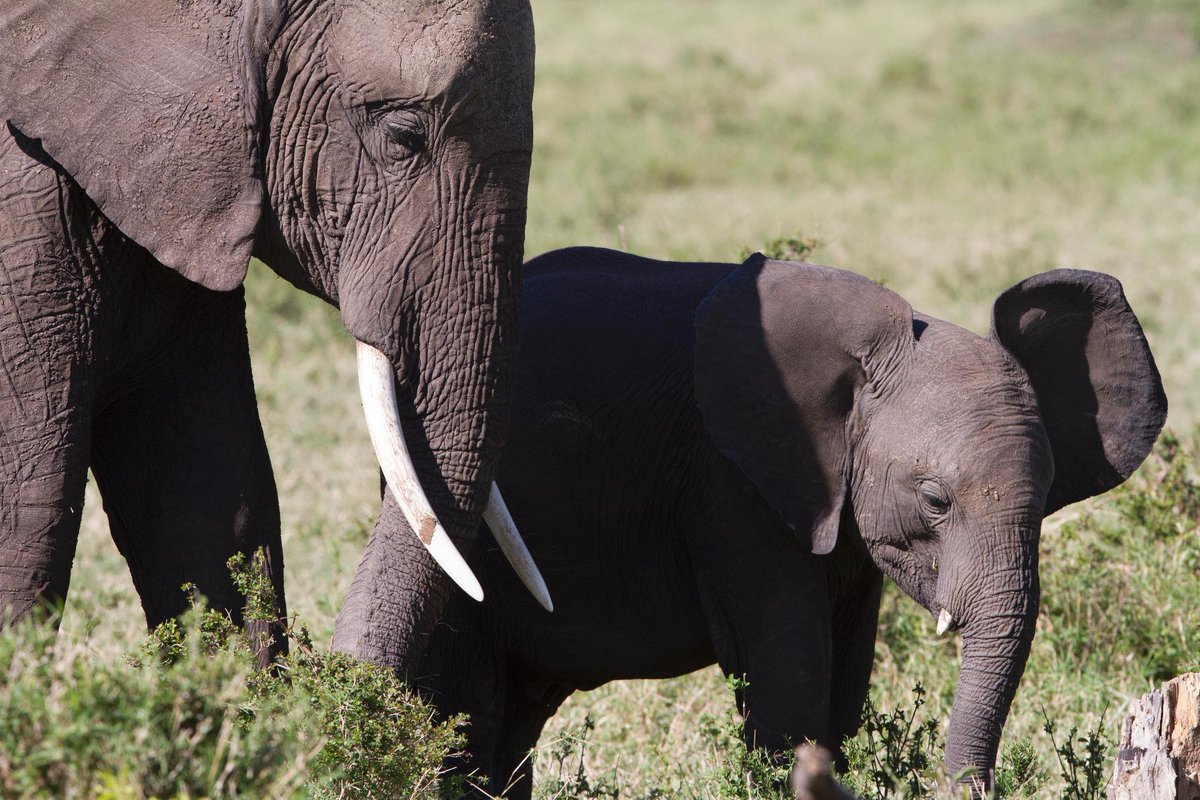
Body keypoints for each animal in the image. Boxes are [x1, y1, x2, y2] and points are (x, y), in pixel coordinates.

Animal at [390, 247, 1166, 796]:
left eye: (1045, 497)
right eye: (935, 500)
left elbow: (844, 687)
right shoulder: (732, 486)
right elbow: (792, 680)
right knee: (465, 703)